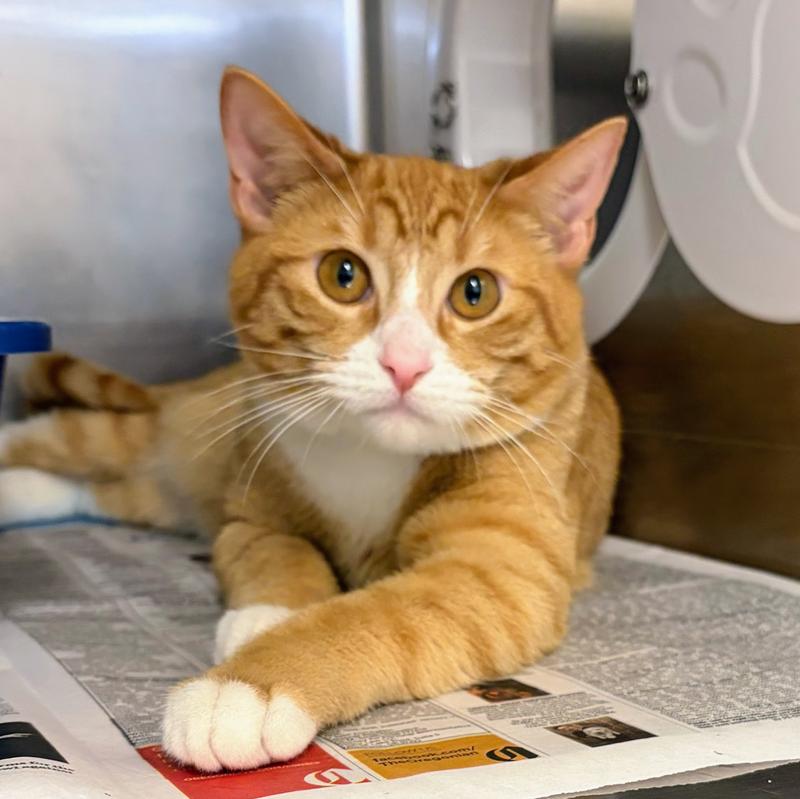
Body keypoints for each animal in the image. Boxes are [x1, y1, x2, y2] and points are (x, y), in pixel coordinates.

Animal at [0, 66, 622, 772]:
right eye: (342, 274)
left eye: (476, 292)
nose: (404, 364)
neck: (370, 460)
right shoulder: (251, 516)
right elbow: (282, 550)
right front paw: (265, 618)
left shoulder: (501, 569)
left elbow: (373, 615)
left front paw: (249, 685)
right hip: (196, 441)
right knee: (79, 439)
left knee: (110, 487)